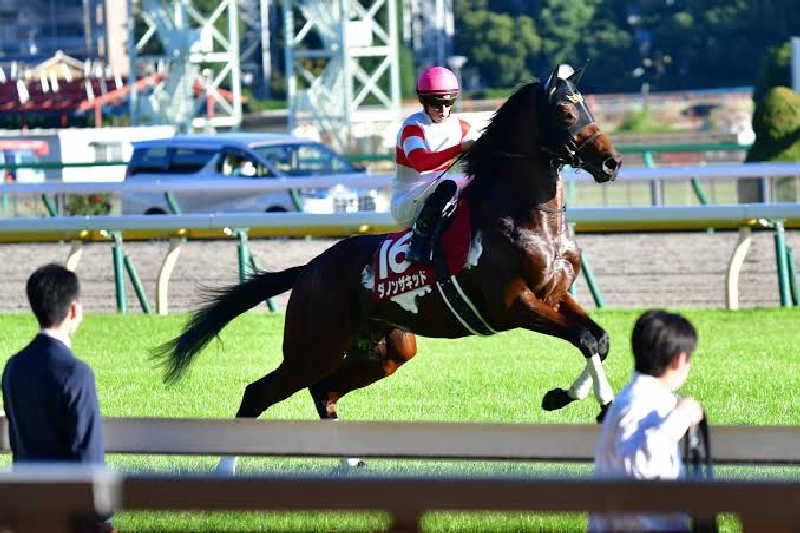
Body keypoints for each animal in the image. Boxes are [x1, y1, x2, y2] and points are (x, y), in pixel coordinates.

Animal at [155, 64, 620, 436]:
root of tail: (308, 270)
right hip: (313, 346)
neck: (527, 214)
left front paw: (579, 401)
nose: (611, 162)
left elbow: (597, 339)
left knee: (324, 391)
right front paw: (576, 400)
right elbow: (584, 338)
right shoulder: (513, 303)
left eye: (589, 110)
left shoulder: (554, 296)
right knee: (259, 393)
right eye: (566, 112)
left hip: (385, 350)